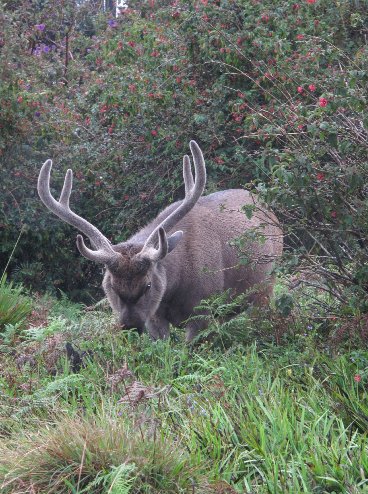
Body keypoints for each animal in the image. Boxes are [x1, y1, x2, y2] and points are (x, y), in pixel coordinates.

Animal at [37, 139, 284, 340]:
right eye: (111, 287)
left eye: (147, 284)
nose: (130, 326)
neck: (175, 285)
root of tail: (271, 211)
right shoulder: (154, 316)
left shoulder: (204, 307)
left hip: (267, 284)